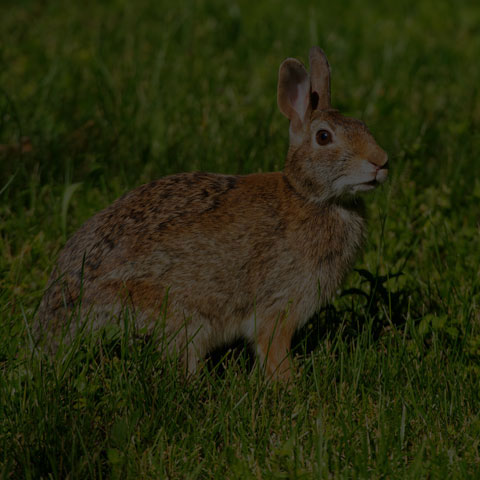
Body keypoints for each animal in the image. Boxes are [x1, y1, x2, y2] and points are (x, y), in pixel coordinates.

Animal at [34, 47, 386, 380]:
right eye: (324, 137)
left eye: (363, 126)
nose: (381, 162)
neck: (310, 196)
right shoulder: (279, 304)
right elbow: (272, 346)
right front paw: (290, 384)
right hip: (179, 314)